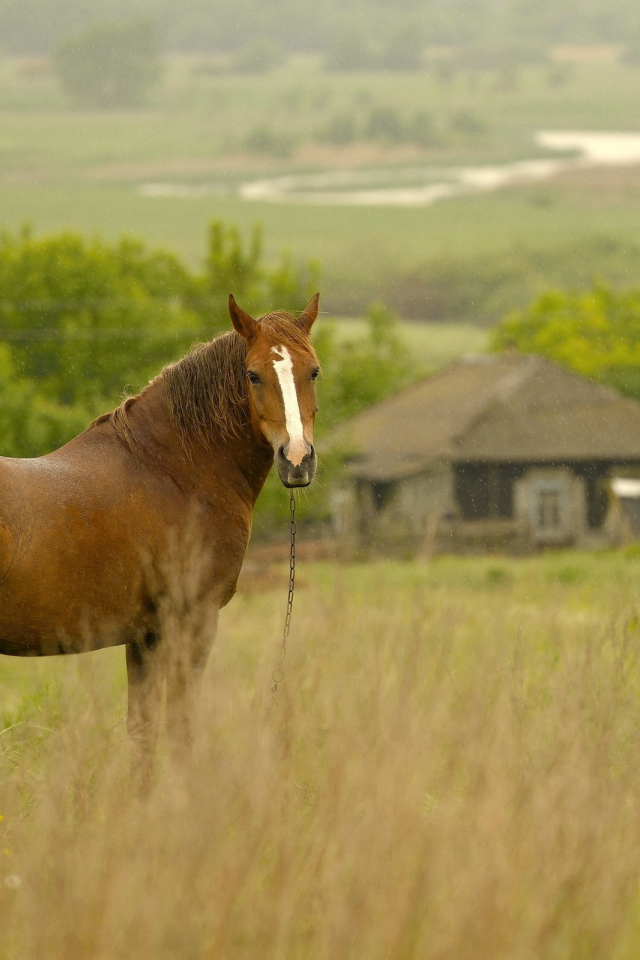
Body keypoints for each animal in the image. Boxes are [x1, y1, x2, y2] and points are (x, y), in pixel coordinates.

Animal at [0, 294, 320, 772]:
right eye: (253, 374)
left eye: (313, 371)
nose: (297, 459)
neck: (172, 469)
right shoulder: (193, 622)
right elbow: (180, 729)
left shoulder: (144, 637)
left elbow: (144, 733)